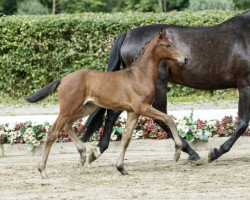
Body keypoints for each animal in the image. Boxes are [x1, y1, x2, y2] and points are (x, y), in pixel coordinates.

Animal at [26, 28, 188, 177]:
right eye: (168, 45)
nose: (185, 59)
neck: (139, 75)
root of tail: (63, 79)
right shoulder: (142, 107)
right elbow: (168, 118)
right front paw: (177, 152)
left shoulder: (133, 111)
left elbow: (126, 139)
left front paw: (121, 168)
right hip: (69, 108)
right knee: (53, 133)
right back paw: (42, 170)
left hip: (86, 107)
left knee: (67, 125)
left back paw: (83, 154)